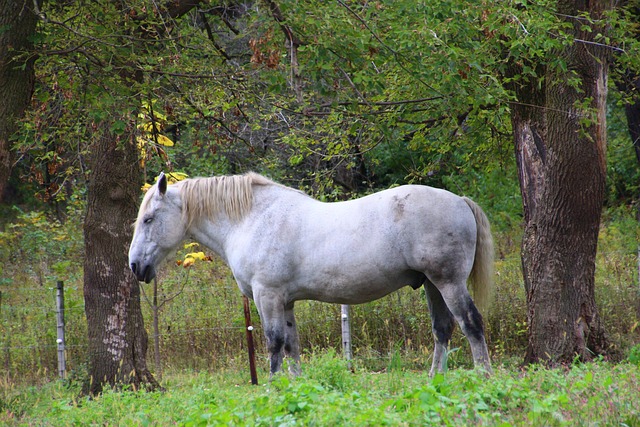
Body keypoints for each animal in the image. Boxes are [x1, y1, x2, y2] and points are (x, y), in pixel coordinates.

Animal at [128, 172, 494, 376]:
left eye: (149, 219)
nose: (134, 266)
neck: (251, 220)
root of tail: (460, 201)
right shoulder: (285, 302)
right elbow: (292, 345)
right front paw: (295, 387)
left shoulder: (268, 296)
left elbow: (274, 343)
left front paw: (273, 388)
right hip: (433, 284)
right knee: (443, 330)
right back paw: (436, 380)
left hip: (449, 283)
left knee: (471, 324)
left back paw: (484, 378)